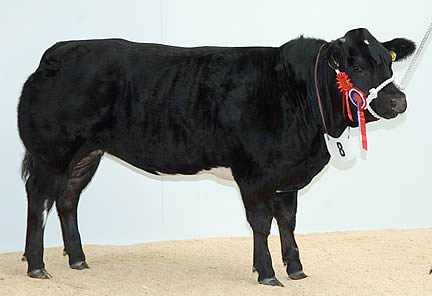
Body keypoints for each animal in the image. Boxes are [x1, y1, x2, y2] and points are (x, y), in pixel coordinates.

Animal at [17, 28, 416, 286]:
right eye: (358, 67)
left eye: (388, 64)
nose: (398, 102)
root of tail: (60, 51)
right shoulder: (255, 173)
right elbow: (261, 223)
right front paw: (267, 273)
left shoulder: (288, 176)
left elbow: (287, 221)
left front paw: (296, 268)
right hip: (53, 152)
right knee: (39, 199)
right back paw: (36, 266)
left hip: (86, 153)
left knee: (68, 198)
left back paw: (78, 259)